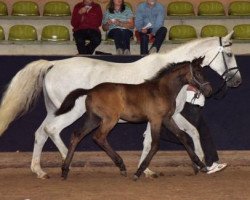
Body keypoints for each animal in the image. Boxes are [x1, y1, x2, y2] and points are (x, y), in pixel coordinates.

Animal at [55, 56, 212, 180]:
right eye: (197, 73)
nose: (209, 90)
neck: (162, 90)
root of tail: (91, 90)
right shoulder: (156, 119)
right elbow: (155, 144)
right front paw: (139, 171)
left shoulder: (167, 119)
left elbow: (182, 136)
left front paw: (201, 165)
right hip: (110, 119)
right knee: (99, 137)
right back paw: (121, 165)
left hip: (93, 119)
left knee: (77, 135)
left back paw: (65, 171)